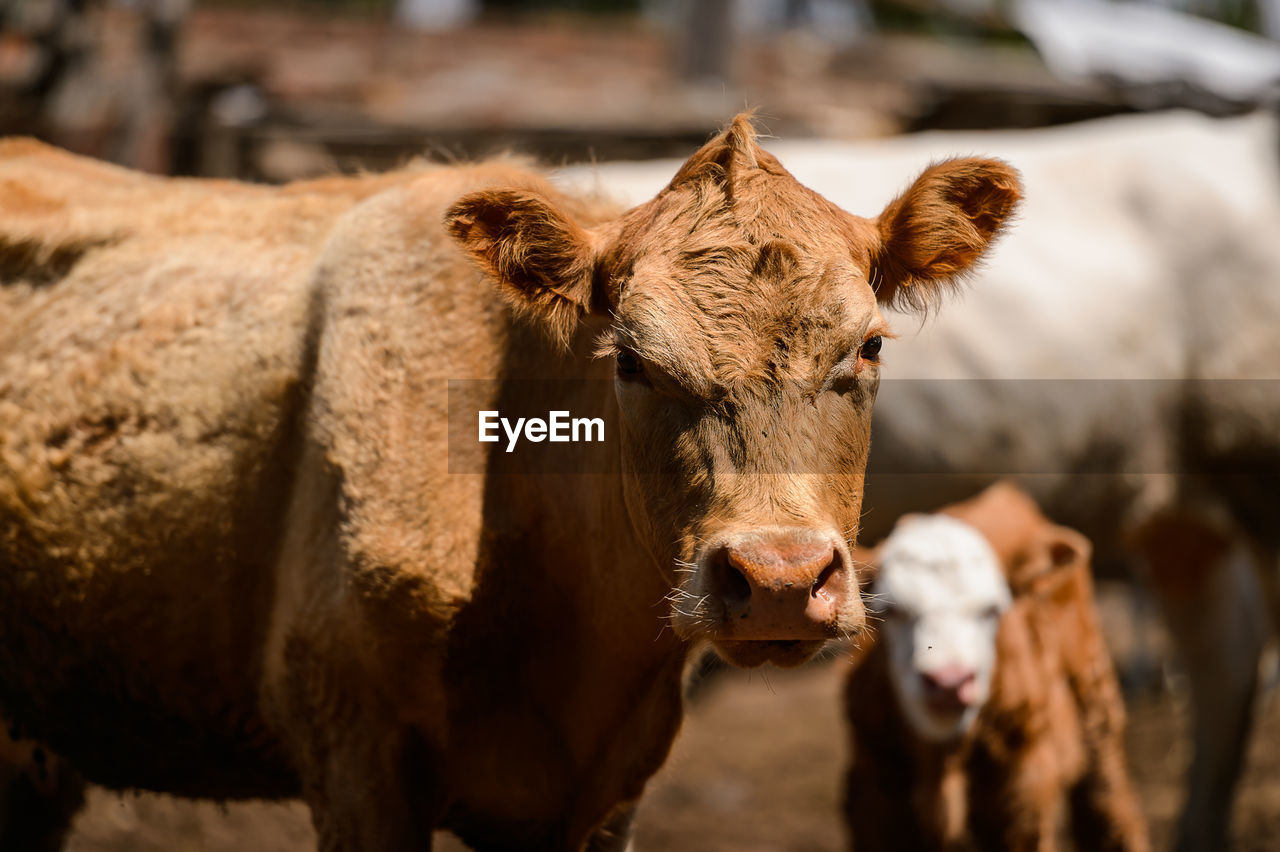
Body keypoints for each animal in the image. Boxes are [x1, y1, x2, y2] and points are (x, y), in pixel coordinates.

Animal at [844, 481, 1146, 849]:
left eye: (991, 610)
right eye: (893, 611)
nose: (948, 683)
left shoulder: (1023, 795)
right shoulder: (874, 796)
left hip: (1096, 702)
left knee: (1108, 801)